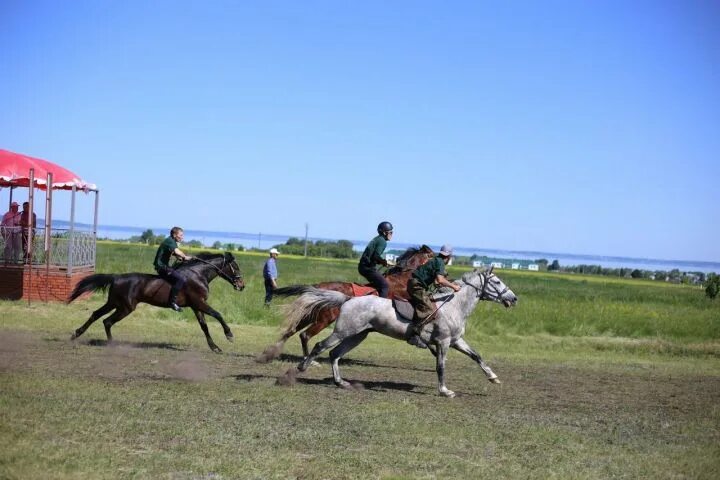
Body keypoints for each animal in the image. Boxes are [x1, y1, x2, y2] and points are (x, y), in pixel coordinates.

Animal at [69, 251, 246, 352]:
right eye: (236, 267)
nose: (241, 285)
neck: (198, 274)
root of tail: (116, 277)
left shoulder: (196, 306)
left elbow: (204, 327)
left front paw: (215, 347)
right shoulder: (199, 303)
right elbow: (218, 315)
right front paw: (229, 335)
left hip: (114, 303)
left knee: (97, 315)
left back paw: (76, 334)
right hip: (125, 307)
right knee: (107, 321)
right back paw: (112, 344)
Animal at [258, 246, 434, 362]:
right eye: (433, 255)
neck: (402, 280)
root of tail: (318, 287)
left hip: (311, 315)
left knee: (291, 331)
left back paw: (271, 352)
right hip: (324, 319)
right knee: (304, 335)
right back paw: (309, 360)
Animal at [286, 270, 516, 398]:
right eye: (496, 282)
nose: (514, 299)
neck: (453, 305)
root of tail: (348, 299)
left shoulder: (456, 340)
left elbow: (477, 356)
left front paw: (493, 377)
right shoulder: (443, 342)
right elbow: (440, 367)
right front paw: (444, 391)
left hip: (358, 335)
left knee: (334, 354)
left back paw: (340, 382)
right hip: (344, 331)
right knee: (319, 346)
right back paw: (301, 368)